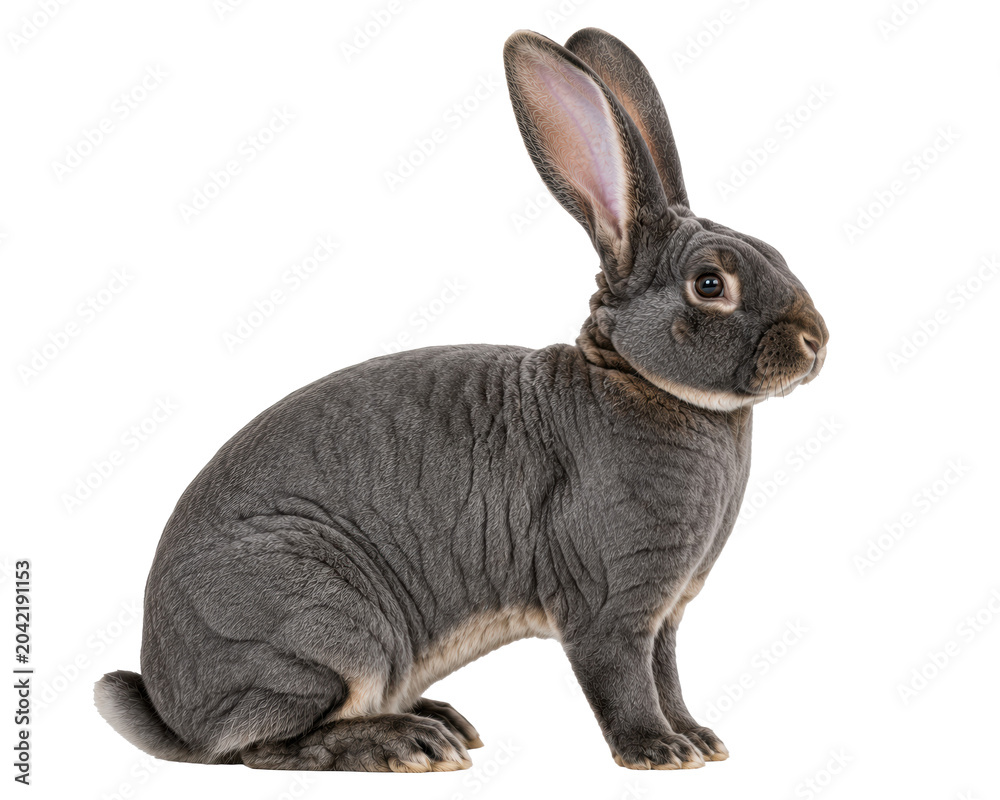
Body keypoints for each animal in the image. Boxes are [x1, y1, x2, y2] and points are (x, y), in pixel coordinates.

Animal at [94, 27, 827, 773]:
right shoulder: (611, 607)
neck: (638, 379)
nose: (816, 341)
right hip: (322, 623)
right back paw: (409, 741)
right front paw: (657, 751)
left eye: (773, 251)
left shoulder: (666, 616)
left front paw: (699, 739)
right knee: (268, 743)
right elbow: (622, 679)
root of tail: (174, 710)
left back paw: (439, 720)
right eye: (709, 284)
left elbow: (667, 674)